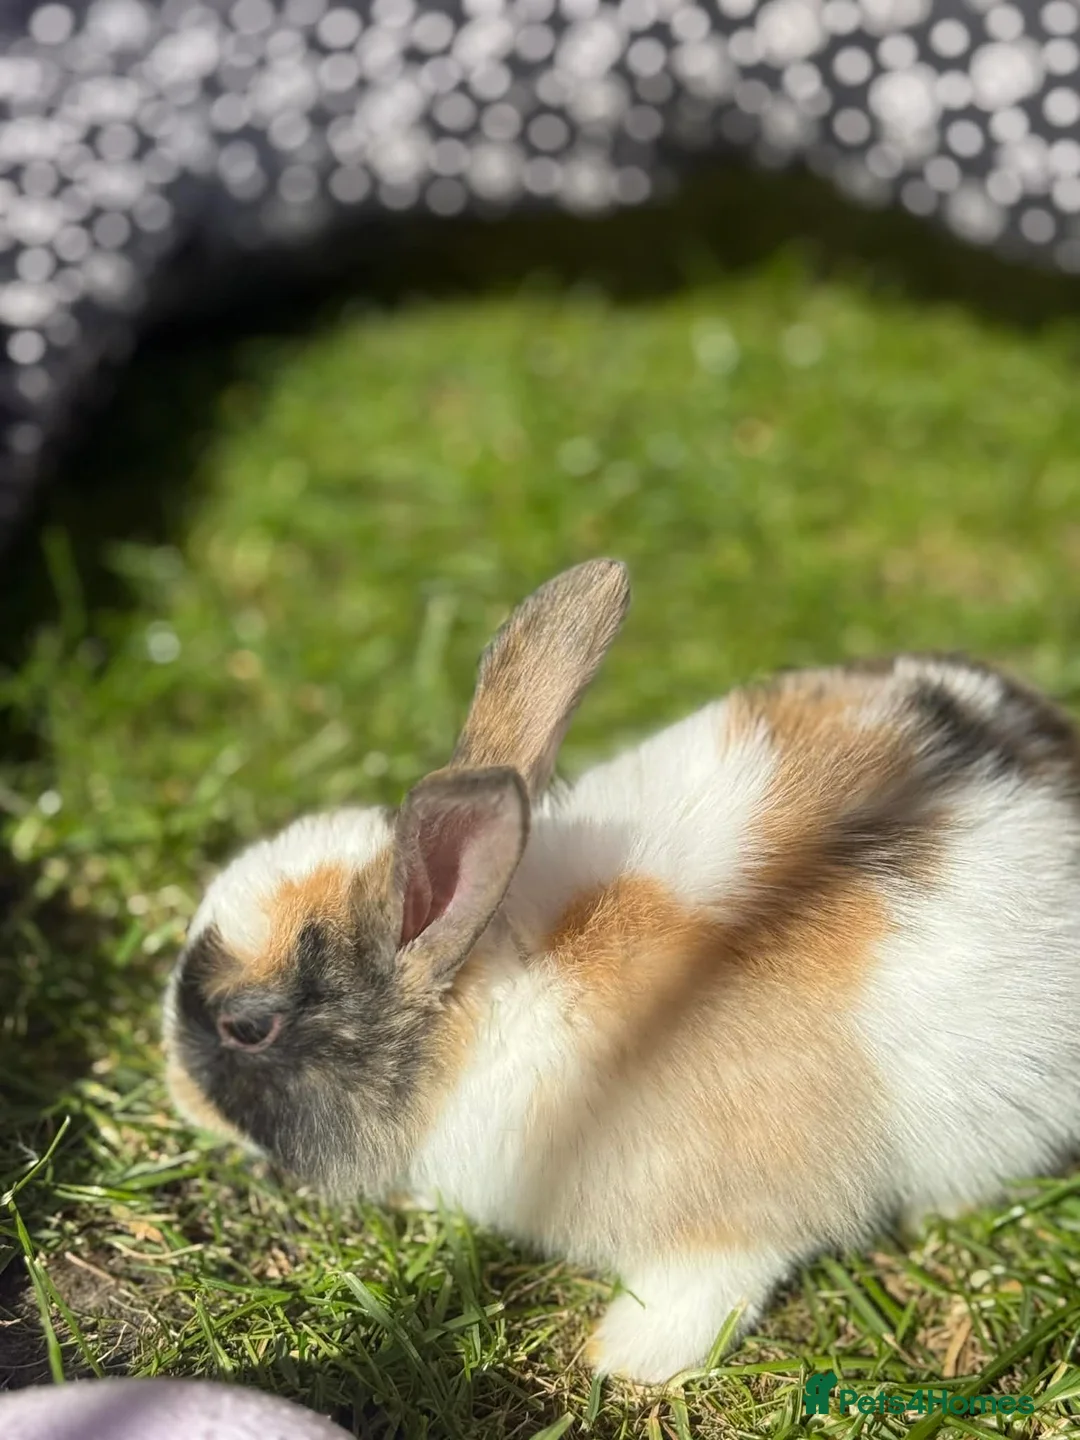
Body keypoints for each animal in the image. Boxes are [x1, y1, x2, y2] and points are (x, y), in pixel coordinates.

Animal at [163, 559, 1080, 1384]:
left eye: (248, 1026)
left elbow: (710, 1287)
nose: (173, 1088)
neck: (487, 996)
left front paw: (625, 1359)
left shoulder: (732, 1221)